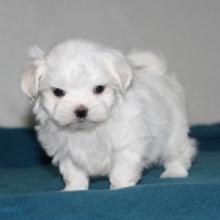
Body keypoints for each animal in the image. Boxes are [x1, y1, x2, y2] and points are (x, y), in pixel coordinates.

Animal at [20, 39, 196, 191]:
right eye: (58, 92)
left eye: (99, 89)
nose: (81, 110)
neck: (87, 130)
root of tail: (160, 75)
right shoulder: (67, 153)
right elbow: (74, 173)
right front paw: (74, 189)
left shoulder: (127, 144)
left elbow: (122, 170)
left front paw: (120, 187)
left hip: (175, 131)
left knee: (180, 151)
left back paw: (175, 172)